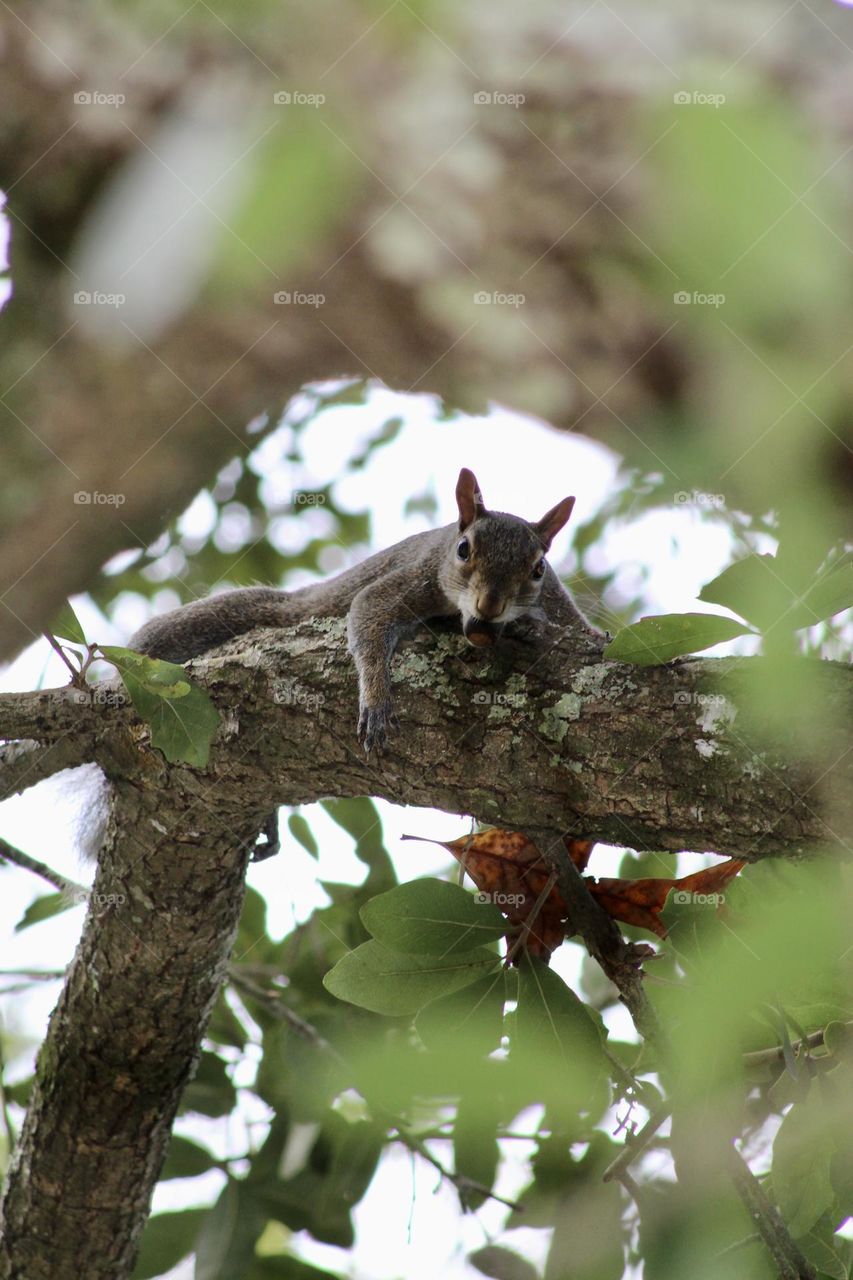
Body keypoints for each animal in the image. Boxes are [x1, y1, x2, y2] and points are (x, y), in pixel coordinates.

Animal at [130, 468, 601, 755]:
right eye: (464, 549)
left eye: (538, 568)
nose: (490, 606)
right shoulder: (417, 578)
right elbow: (369, 611)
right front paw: (376, 699)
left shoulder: (553, 595)